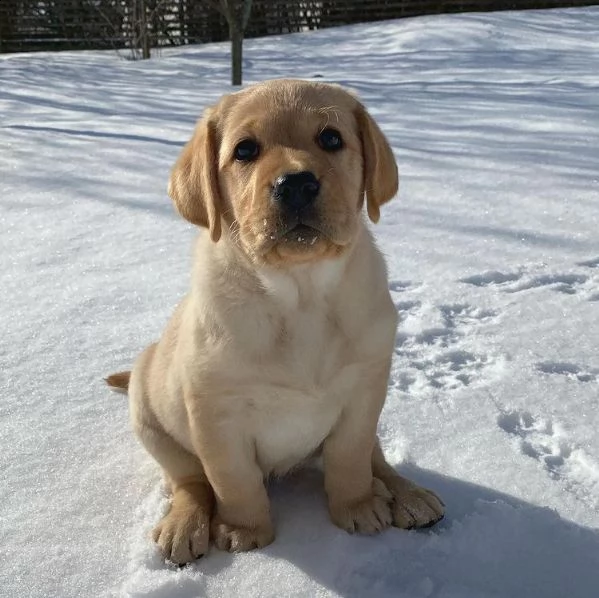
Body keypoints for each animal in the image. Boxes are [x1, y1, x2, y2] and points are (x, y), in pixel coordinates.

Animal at [108, 78, 446, 564]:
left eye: (331, 138)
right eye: (245, 150)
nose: (297, 184)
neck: (298, 295)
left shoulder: (364, 390)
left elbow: (350, 457)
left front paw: (357, 507)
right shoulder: (216, 413)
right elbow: (233, 480)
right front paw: (245, 531)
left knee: (377, 459)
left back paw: (408, 494)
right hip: (151, 423)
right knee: (190, 482)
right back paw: (183, 525)